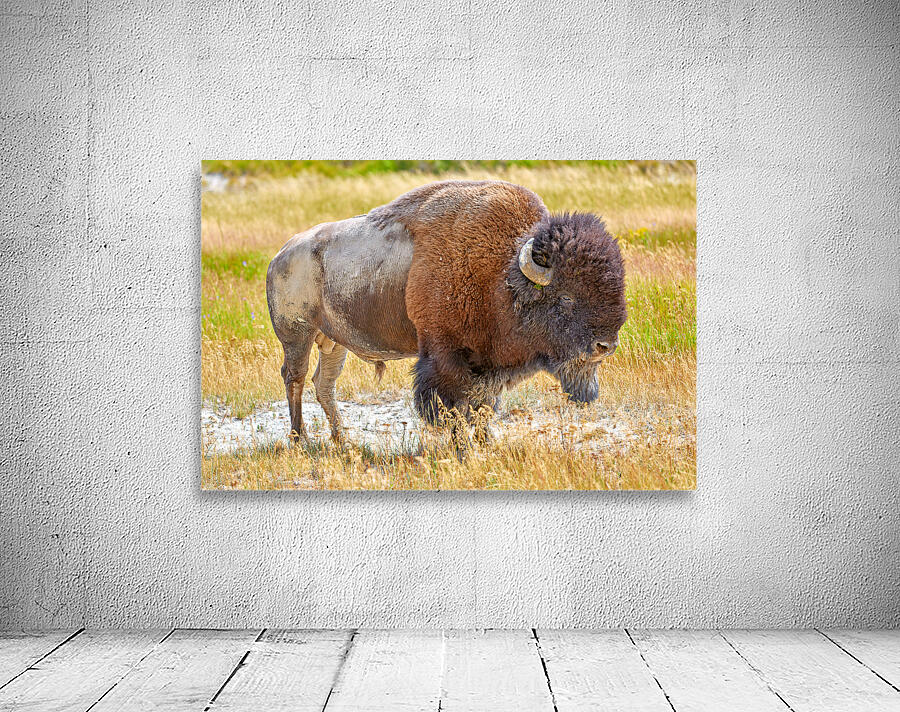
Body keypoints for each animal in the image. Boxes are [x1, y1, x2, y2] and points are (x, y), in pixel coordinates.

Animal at [266, 180, 626, 444]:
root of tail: (280, 255)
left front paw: (485, 443)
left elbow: (483, 406)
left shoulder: (487, 366)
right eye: (565, 297)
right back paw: (301, 440)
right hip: (297, 334)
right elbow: (454, 408)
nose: (605, 346)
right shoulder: (445, 357)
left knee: (323, 383)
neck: (503, 274)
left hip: (334, 342)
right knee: (295, 377)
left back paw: (343, 440)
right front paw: (461, 448)